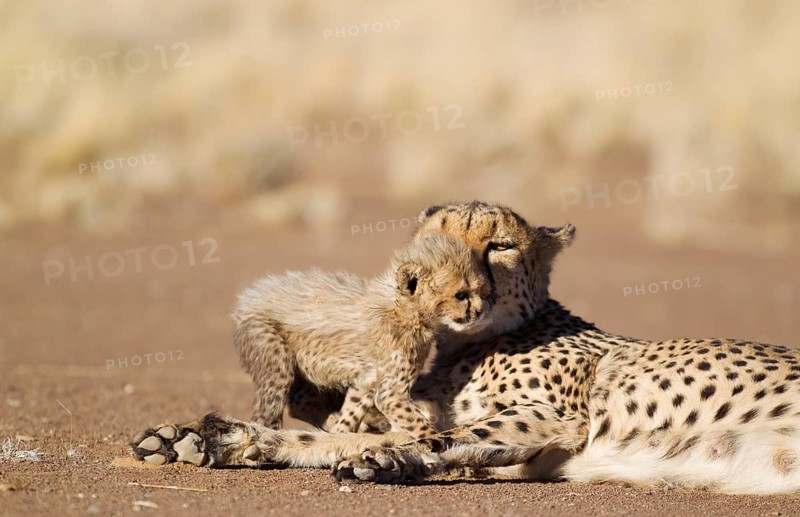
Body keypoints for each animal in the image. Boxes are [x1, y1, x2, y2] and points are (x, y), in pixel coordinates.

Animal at [131, 201, 800, 495]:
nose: (467, 293)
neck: (466, 347)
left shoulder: (558, 422)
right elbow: (338, 434)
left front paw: (389, 458)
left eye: (499, 246)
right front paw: (209, 438)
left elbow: (432, 436)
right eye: (433, 243)